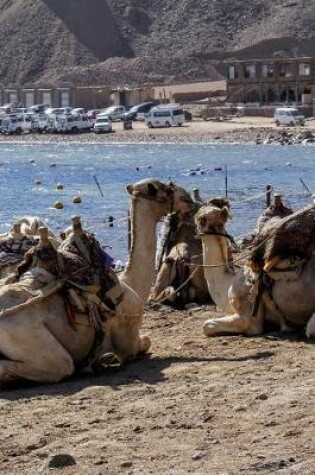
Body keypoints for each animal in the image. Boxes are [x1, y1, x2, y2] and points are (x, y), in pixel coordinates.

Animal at [0, 177, 194, 384]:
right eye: (163, 188)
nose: (187, 198)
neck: (129, 283)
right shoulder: (128, 342)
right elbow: (145, 343)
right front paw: (103, 359)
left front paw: (101, 359)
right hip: (37, 344)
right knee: (61, 366)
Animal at [195, 203, 315, 340]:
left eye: (201, 218)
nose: (194, 221)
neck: (228, 283)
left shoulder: (249, 315)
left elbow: (206, 326)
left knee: (310, 330)